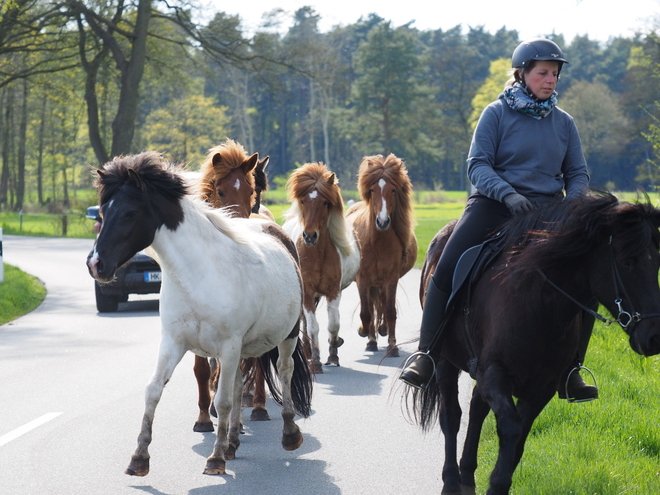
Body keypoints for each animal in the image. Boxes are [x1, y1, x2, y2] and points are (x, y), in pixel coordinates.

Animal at [87, 153, 312, 478]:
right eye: (103, 212)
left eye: (129, 213)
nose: (96, 265)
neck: (198, 273)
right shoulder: (174, 343)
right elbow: (154, 390)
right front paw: (139, 458)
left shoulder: (228, 346)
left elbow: (223, 400)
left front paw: (214, 460)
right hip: (238, 350)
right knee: (238, 384)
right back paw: (232, 443)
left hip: (286, 337)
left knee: (283, 372)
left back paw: (289, 434)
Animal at [282, 163, 358, 372]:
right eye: (303, 201)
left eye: (325, 202)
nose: (309, 236)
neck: (317, 253)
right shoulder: (308, 293)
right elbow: (313, 326)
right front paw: (315, 360)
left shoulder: (333, 292)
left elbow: (333, 324)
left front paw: (333, 355)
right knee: (306, 323)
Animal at [346, 154, 418, 356]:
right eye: (372, 190)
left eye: (393, 190)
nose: (383, 221)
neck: (376, 241)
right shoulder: (362, 279)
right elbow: (366, 312)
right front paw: (364, 332)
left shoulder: (391, 278)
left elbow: (390, 310)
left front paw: (393, 345)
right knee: (370, 308)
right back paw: (370, 339)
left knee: (383, 305)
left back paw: (382, 330)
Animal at [410, 193, 660, 495]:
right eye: (627, 261)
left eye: (656, 264)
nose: (655, 337)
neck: (538, 303)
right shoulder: (495, 374)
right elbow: (510, 427)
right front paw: (496, 484)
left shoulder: (543, 387)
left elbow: (518, 439)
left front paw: (498, 481)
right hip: (446, 362)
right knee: (452, 417)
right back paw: (451, 482)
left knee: (477, 409)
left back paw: (467, 477)